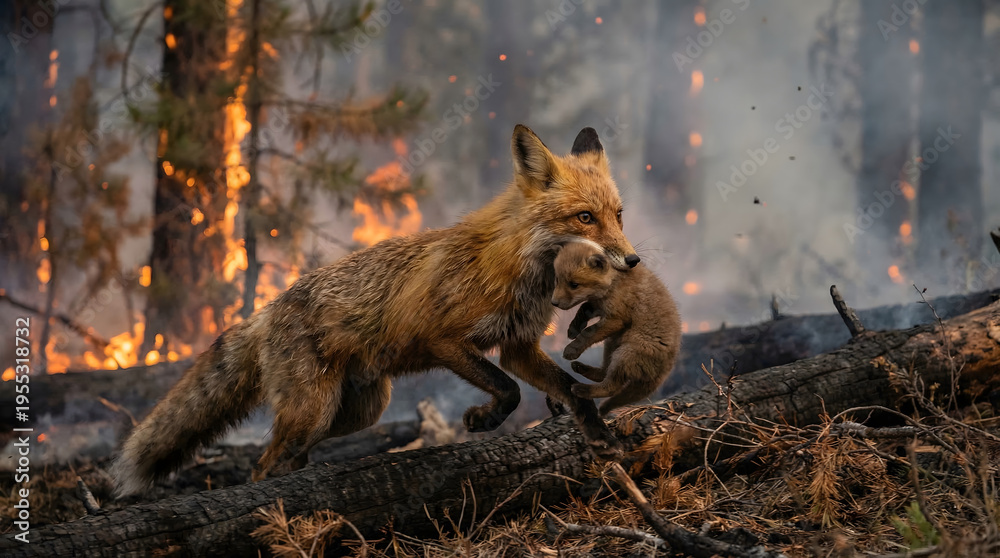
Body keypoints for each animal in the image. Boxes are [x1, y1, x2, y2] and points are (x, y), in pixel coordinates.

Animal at [111, 124, 640, 497]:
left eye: (618, 215)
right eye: (584, 218)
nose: (633, 260)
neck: (518, 267)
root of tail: (269, 308)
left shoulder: (518, 347)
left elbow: (571, 390)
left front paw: (599, 436)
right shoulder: (445, 339)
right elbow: (508, 391)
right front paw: (482, 420)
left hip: (358, 410)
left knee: (285, 458)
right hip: (312, 411)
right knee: (261, 467)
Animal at [551, 240, 682, 416]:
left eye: (574, 284)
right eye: (557, 280)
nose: (554, 303)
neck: (614, 282)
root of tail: (667, 369)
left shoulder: (616, 319)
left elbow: (588, 333)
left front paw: (572, 349)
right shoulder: (599, 305)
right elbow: (583, 309)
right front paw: (573, 328)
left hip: (624, 353)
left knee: (611, 387)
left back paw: (582, 389)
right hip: (612, 344)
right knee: (603, 373)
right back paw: (581, 368)